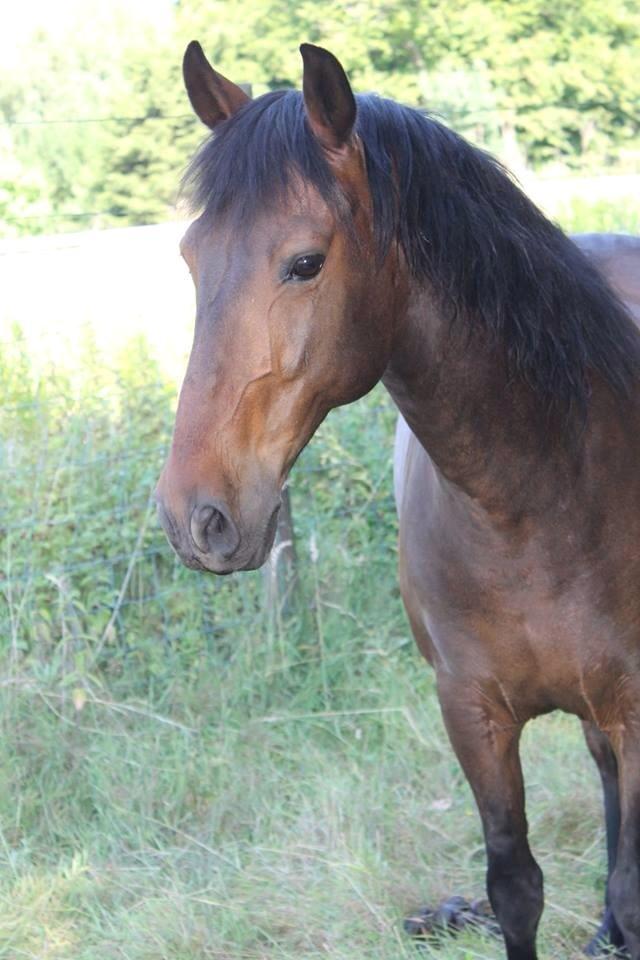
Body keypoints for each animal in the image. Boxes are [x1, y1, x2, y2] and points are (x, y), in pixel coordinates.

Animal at [155, 39, 640, 960]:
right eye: (191, 260)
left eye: (305, 262)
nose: (194, 517)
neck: (536, 502)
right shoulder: (471, 712)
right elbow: (515, 887)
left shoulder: (637, 704)